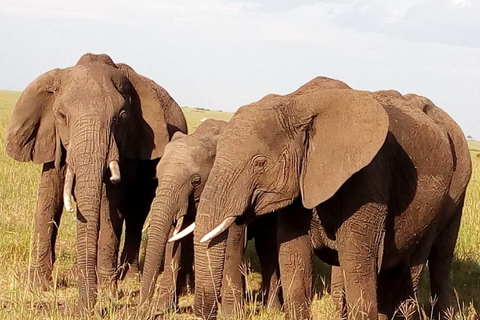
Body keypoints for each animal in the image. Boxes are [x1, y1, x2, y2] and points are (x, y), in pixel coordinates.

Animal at [7, 53, 189, 314]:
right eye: (62, 115)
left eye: (120, 116)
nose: (86, 307)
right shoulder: (51, 138)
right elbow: (49, 196)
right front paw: (36, 285)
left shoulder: (129, 142)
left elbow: (110, 202)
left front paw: (106, 291)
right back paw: (77, 275)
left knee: (135, 212)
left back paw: (127, 278)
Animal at [139, 118, 282, 318]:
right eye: (157, 177)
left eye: (196, 181)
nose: (143, 310)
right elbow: (174, 240)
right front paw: (161, 309)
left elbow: (233, 238)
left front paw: (230, 314)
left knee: (266, 247)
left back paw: (273, 309)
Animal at [186, 75, 470, 320]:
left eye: (260, 163)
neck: (298, 103)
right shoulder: (302, 181)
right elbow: (293, 255)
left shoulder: (369, 175)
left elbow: (357, 261)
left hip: (444, 197)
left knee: (420, 262)